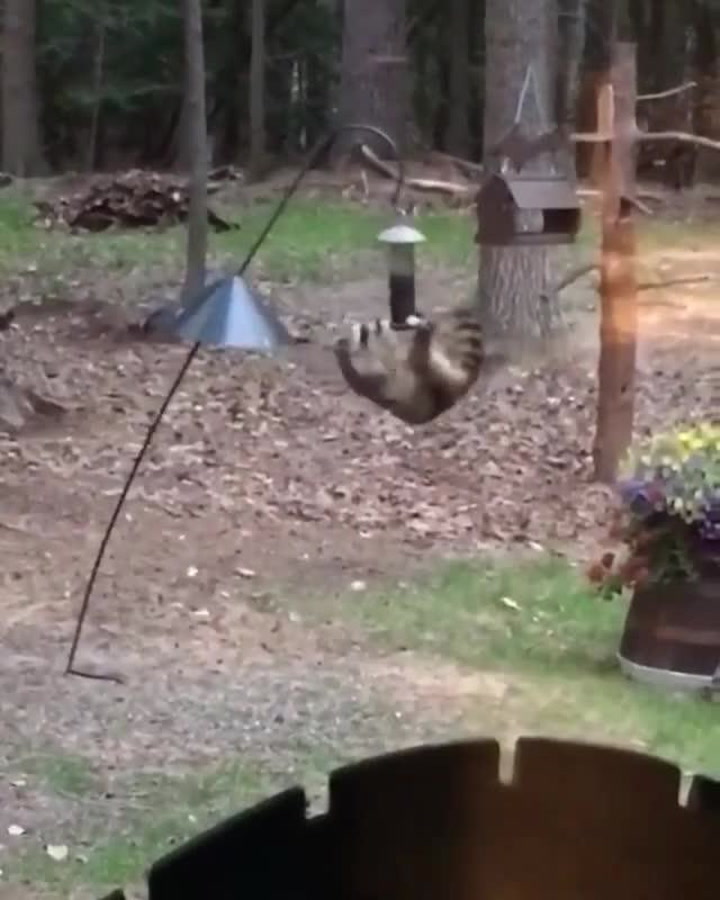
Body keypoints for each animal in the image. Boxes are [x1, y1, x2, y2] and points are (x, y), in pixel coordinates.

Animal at [333, 306, 487, 425]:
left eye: (365, 330)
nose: (376, 322)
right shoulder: (379, 380)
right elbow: (362, 380)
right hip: (431, 377)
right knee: (420, 356)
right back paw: (424, 334)